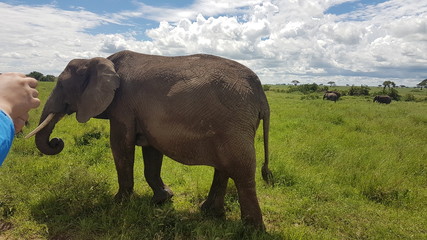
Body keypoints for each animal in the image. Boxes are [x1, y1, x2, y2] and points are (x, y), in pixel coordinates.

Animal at [27, 49, 274, 229]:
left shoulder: (123, 106)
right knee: (224, 168)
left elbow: (121, 146)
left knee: (242, 170)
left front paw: (118, 203)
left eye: (60, 85)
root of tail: (260, 93)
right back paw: (210, 212)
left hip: (234, 123)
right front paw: (162, 199)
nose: (57, 141)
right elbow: (152, 152)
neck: (99, 60)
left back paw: (251, 229)